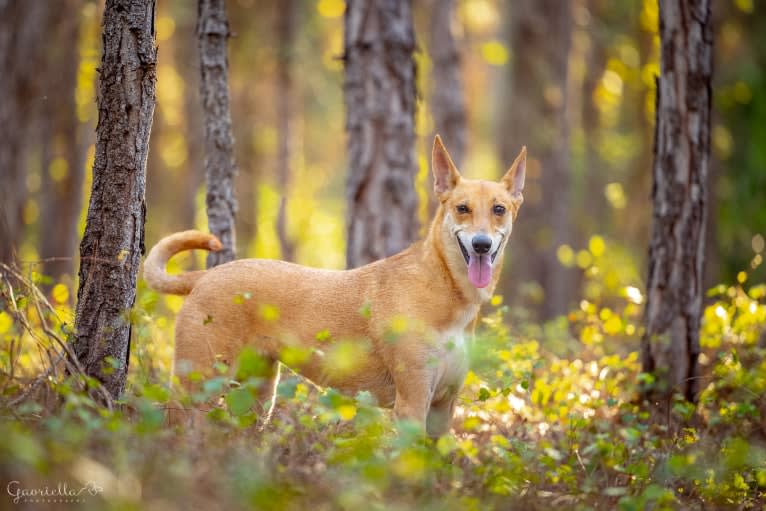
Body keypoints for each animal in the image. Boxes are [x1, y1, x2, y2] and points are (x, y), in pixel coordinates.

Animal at [142, 136, 528, 436]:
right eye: (462, 208)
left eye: (498, 209)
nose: (481, 245)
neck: (446, 289)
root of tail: (205, 276)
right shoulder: (413, 402)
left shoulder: (443, 408)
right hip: (198, 383)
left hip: (257, 395)